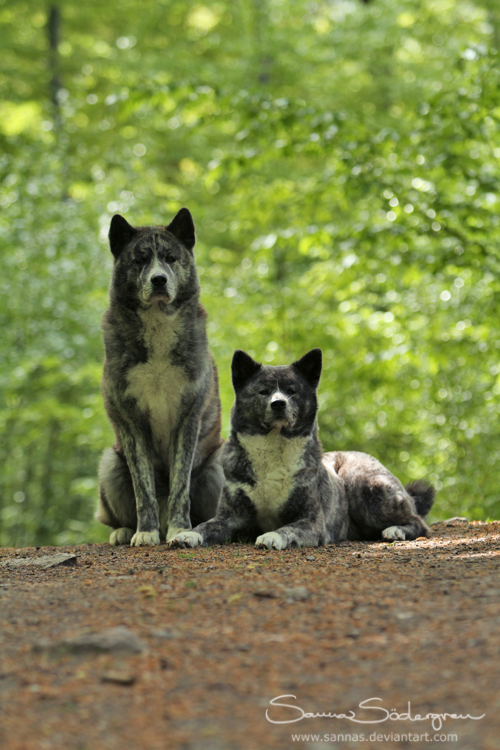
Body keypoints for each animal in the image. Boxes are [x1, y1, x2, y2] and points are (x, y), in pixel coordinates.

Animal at [96, 207, 225, 548]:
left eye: (170, 258)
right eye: (140, 260)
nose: (159, 280)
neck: (157, 324)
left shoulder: (187, 418)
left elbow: (180, 485)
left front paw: (180, 530)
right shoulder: (131, 424)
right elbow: (144, 489)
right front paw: (146, 532)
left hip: (219, 466)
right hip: (110, 463)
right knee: (116, 514)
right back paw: (124, 530)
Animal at [168, 348, 434, 552]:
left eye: (292, 390)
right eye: (264, 391)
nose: (278, 404)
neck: (273, 448)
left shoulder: (310, 521)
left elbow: (288, 529)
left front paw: (272, 536)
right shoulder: (230, 517)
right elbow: (206, 525)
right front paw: (187, 534)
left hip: (362, 483)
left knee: (420, 523)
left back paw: (396, 530)